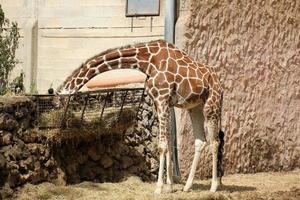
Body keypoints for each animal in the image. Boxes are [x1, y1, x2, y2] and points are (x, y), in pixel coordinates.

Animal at [57, 39, 224, 195]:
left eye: (61, 100)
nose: (60, 118)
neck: (147, 61)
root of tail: (220, 83)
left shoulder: (162, 99)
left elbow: (162, 146)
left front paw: (159, 188)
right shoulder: (160, 102)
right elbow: (169, 144)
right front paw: (169, 187)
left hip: (211, 104)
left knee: (215, 142)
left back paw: (214, 187)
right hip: (195, 107)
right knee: (200, 141)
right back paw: (188, 186)